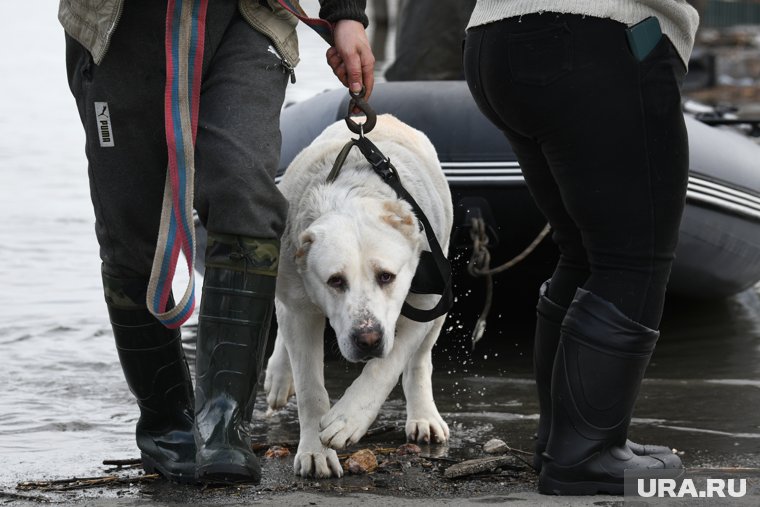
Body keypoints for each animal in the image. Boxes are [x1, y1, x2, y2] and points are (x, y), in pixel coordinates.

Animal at [266, 113, 454, 478]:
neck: (352, 197)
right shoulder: (299, 307)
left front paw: (348, 418)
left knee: (419, 361)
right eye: (335, 281)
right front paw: (315, 452)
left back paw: (424, 416)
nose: (367, 340)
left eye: (387, 276)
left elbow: (388, 364)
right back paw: (280, 377)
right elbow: (310, 388)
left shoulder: (424, 303)